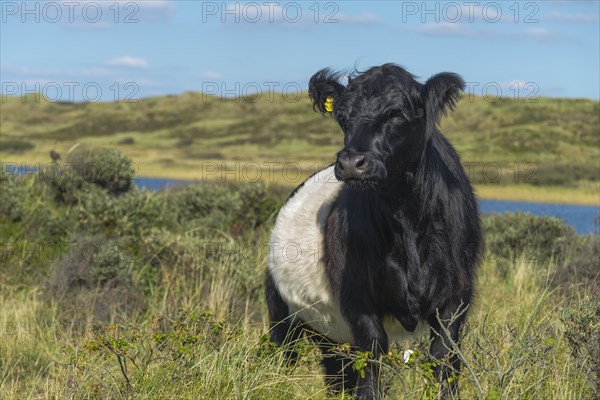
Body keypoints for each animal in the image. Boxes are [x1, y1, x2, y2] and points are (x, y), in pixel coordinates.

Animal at [266, 64, 482, 398]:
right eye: (343, 116)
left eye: (397, 113)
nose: (351, 163)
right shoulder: (358, 300)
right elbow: (371, 359)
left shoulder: (456, 297)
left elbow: (444, 359)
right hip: (282, 312)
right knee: (285, 357)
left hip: (329, 334)